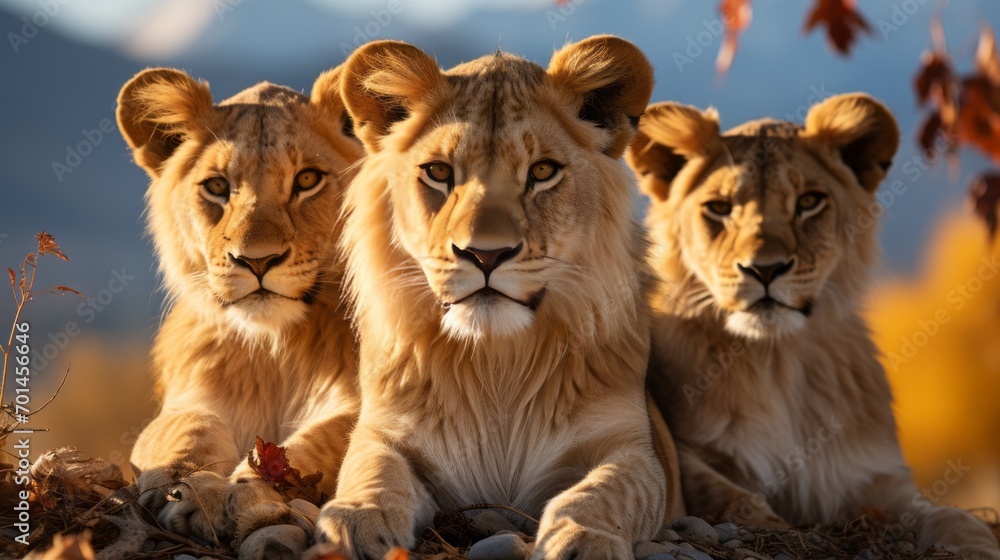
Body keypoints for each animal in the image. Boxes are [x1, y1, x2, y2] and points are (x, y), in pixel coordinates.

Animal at [116, 64, 364, 556]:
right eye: (216, 187)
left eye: (307, 180)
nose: (258, 260)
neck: (277, 348)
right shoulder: (187, 400)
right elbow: (187, 431)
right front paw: (194, 492)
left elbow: (313, 445)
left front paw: (253, 493)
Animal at [288, 36, 680, 560]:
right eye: (438, 172)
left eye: (542, 171)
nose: (485, 254)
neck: (498, 363)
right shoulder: (382, 430)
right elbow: (372, 469)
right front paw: (356, 519)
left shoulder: (634, 447)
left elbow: (605, 491)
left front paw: (583, 538)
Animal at [628, 94, 1000, 556]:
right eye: (719, 208)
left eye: (809, 202)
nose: (764, 269)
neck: (778, 360)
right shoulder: (689, 453)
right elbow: (734, 497)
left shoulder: (870, 476)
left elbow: (955, 516)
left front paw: (973, 543)